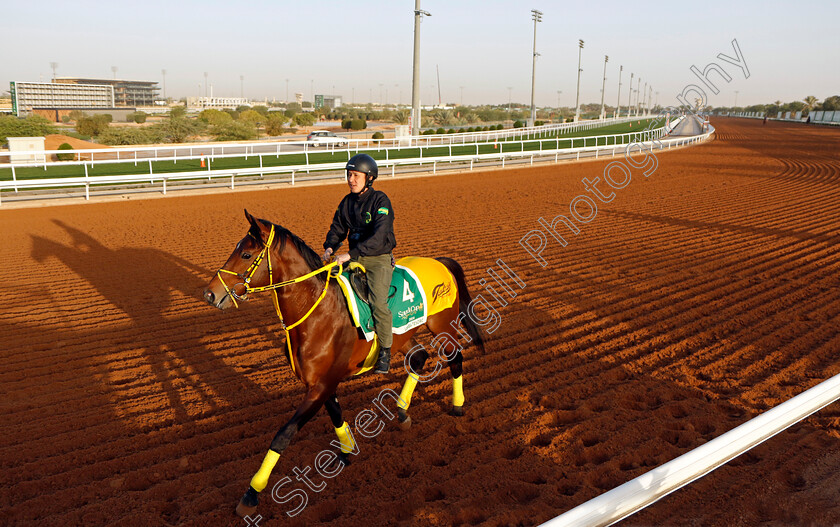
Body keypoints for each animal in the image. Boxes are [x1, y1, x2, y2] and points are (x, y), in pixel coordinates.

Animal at [201, 208, 486, 516]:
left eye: (245, 254)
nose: (210, 294)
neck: (317, 313)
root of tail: (439, 261)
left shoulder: (321, 385)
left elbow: (283, 435)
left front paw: (252, 493)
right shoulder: (321, 383)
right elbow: (337, 415)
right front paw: (347, 451)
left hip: (442, 325)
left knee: (455, 359)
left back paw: (457, 407)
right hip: (401, 336)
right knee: (419, 357)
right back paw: (401, 412)